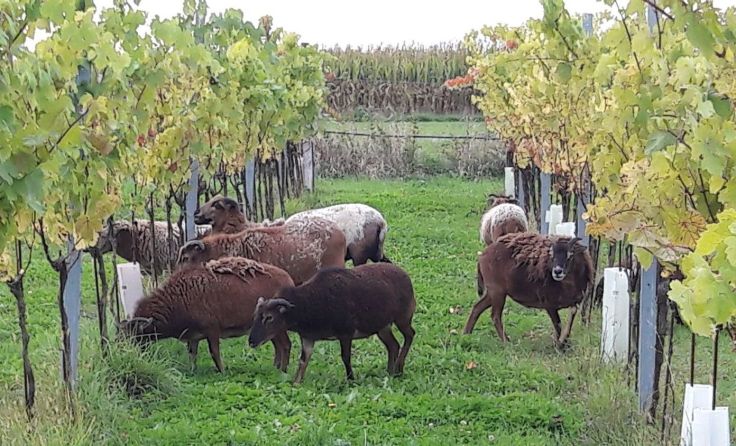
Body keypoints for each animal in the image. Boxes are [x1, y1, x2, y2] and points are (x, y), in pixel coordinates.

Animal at [118, 256, 294, 373]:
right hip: (268, 330)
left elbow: (214, 352)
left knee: (285, 345)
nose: (127, 353)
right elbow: (192, 353)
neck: (180, 297)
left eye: (135, 334)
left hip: (276, 327)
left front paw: (222, 371)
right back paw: (276, 367)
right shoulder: (193, 336)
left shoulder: (212, 330)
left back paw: (282, 371)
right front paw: (193, 370)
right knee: (279, 346)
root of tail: (288, 279)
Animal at [248, 263, 416, 384]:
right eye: (256, 316)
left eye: (269, 317)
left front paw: (351, 380)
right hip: (383, 327)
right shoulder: (308, 338)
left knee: (410, 335)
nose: (251, 341)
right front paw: (296, 382)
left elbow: (345, 357)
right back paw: (391, 371)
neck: (309, 303)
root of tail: (406, 276)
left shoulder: (346, 333)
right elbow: (303, 360)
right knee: (393, 345)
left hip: (403, 317)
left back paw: (399, 367)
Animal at [464, 232, 593, 348]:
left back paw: (466, 334)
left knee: (477, 308)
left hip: (493, 291)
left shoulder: (575, 303)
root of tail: (482, 256)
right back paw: (506, 342)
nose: (557, 271)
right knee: (495, 316)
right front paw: (560, 345)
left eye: (570, 255)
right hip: (497, 291)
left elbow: (570, 318)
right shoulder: (549, 304)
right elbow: (558, 324)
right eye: (552, 255)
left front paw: (565, 343)